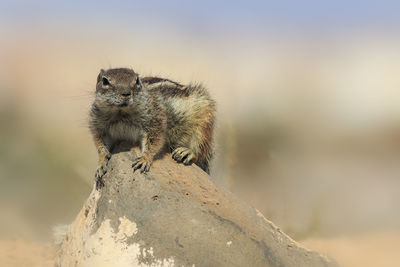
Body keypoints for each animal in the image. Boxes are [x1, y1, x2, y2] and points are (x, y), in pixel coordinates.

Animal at [89, 68, 217, 188]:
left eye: (137, 80)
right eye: (105, 81)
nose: (125, 93)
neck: (121, 113)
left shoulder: (155, 120)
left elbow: (154, 142)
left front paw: (144, 159)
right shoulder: (99, 127)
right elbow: (101, 146)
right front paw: (100, 164)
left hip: (204, 121)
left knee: (202, 149)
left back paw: (188, 152)